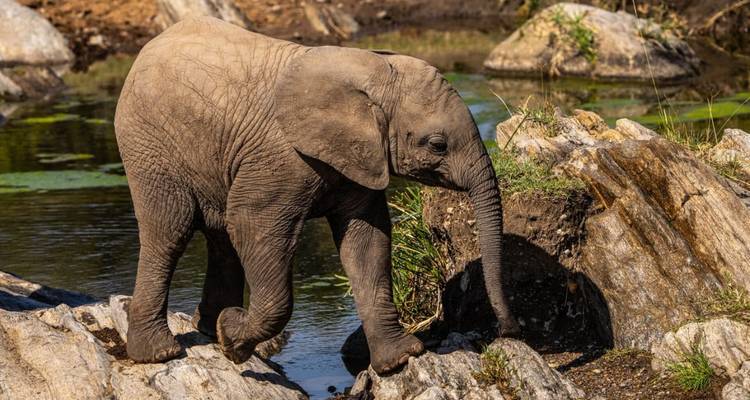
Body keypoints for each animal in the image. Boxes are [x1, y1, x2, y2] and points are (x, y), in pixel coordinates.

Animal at [114, 16, 519, 374]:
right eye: (437, 145)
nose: (508, 330)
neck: (372, 71)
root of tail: (146, 50)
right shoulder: (281, 158)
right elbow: (252, 224)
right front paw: (233, 341)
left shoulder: (359, 159)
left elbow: (367, 241)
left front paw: (399, 360)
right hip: (147, 143)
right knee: (171, 230)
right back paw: (161, 353)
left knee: (220, 236)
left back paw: (208, 329)